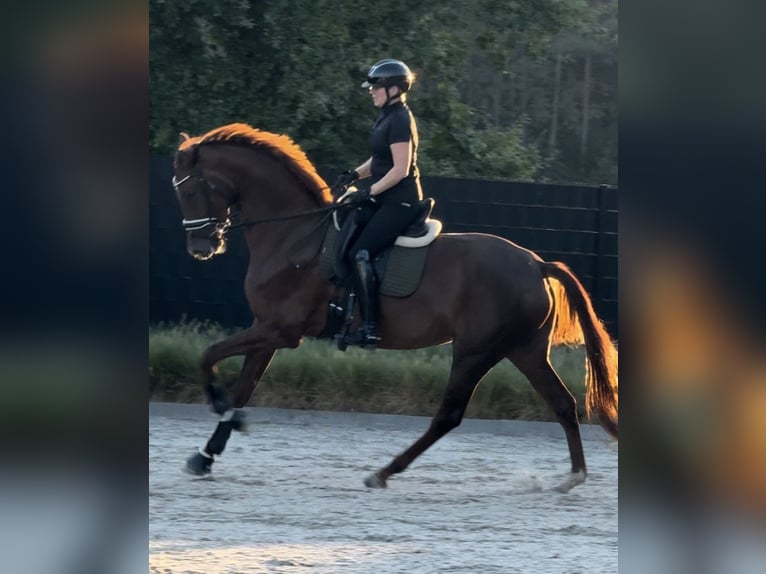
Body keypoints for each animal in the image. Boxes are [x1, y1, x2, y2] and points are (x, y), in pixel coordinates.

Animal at [170, 122, 618, 492]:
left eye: (189, 191)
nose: (200, 247)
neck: (294, 235)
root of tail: (535, 263)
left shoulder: (280, 330)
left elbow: (208, 357)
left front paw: (219, 408)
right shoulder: (267, 330)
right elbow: (243, 386)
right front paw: (206, 455)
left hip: (475, 351)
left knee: (449, 416)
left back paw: (382, 473)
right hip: (523, 350)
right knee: (563, 403)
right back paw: (573, 477)